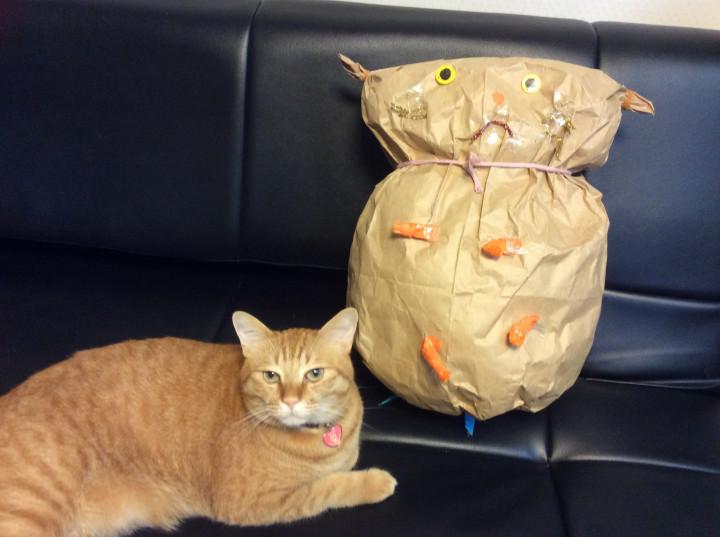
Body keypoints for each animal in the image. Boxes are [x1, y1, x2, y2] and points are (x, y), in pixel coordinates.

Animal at [0, 307, 396, 537]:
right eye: (271, 376)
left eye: (314, 374)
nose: (291, 401)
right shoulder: (250, 501)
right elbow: (328, 488)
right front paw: (374, 482)